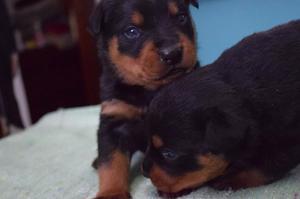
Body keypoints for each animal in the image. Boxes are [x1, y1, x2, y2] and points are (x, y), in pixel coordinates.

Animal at [89, 0, 199, 198]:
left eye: (181, 18)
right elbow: (111, 163)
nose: (172, 52)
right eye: (132, 31)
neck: (149, 91)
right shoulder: (114, 121)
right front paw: (112, 192)